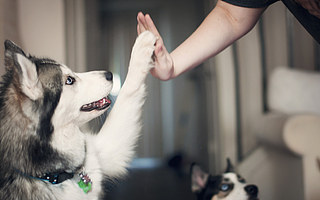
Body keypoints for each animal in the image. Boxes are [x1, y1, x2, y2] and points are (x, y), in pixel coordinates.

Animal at [0, 30, 156, 199]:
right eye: (69, 80)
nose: (109, 74)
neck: (57, 175)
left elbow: (128, 92)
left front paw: (143, 44)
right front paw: (144, 42)